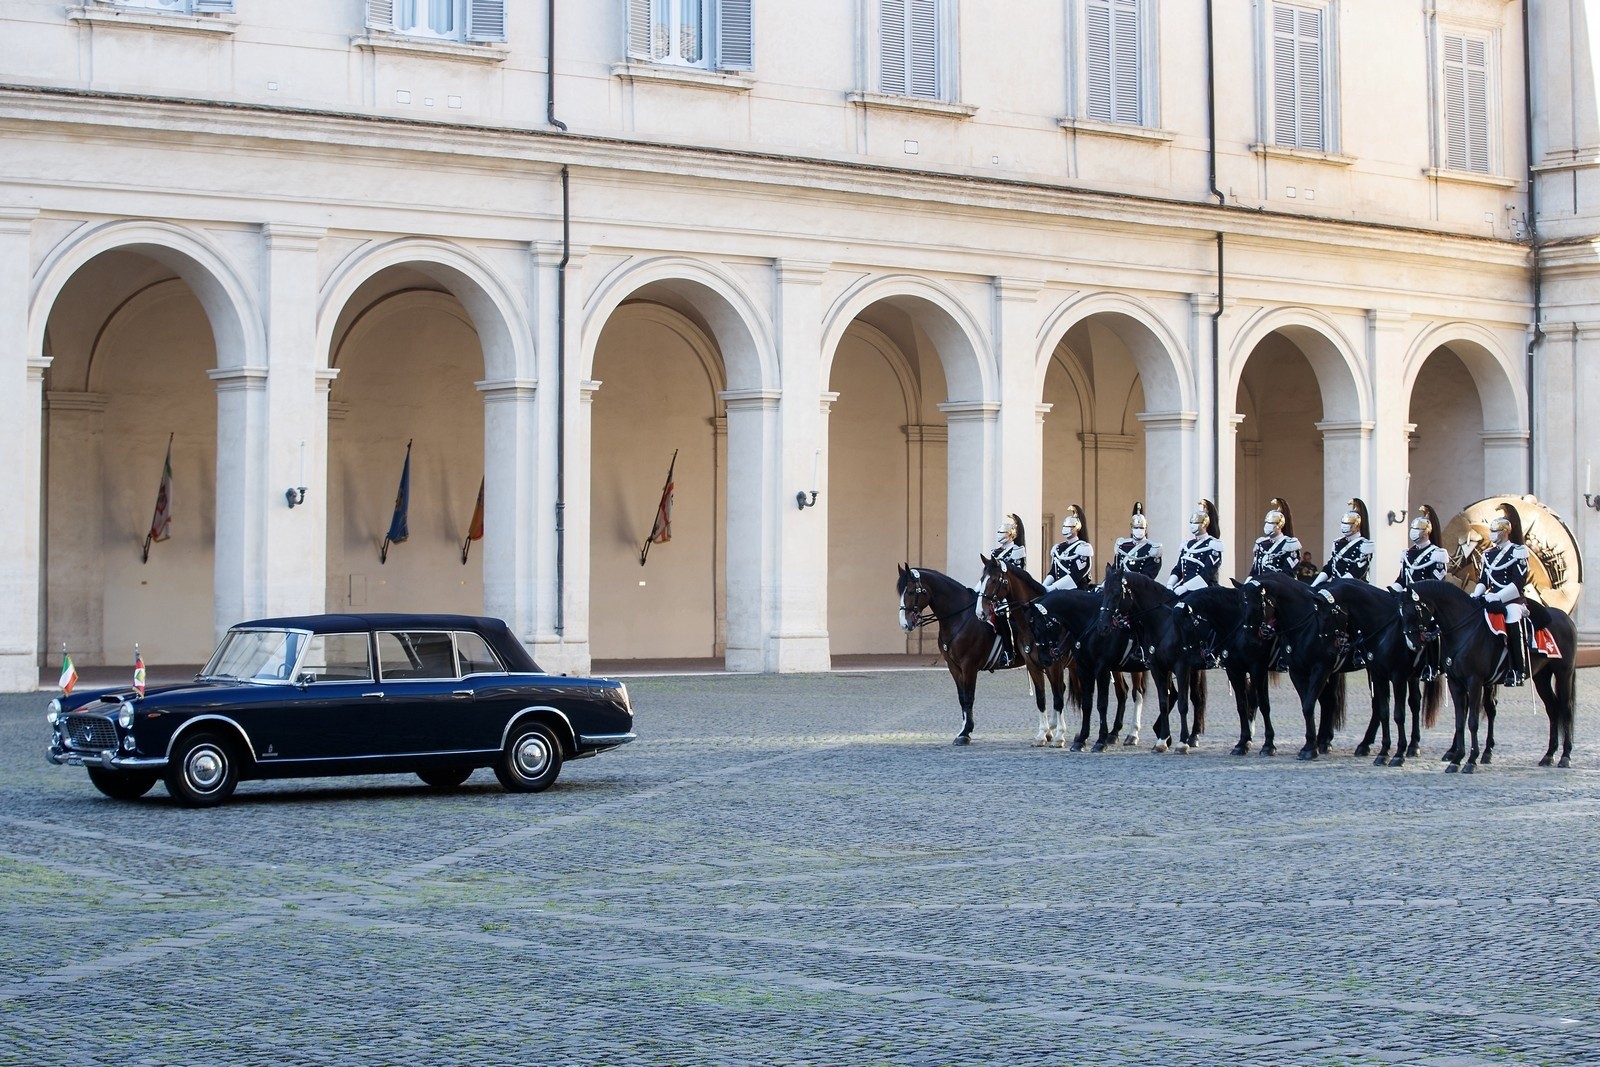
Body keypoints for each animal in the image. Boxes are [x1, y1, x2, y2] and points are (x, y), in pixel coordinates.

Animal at [902, 563, 1024, 748]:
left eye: (910, 592)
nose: (904, 623)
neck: (960, 617)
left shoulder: (969, 666)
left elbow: (969, 697)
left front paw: (965, 733)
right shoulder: (954, 666)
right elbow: (962, 698)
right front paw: (963, 730)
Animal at [1401, 579, 1574, 771]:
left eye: (1413, 610)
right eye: (1400, 612)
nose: (1412, 644)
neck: (1464, 629)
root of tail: (1566, 618)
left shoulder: (1474, 681)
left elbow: (1473, 721)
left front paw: (1471, 760)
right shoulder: (1455, 683)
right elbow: (1460, 721)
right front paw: (1456, 759)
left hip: (1563, 673)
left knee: (1566, 709)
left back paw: (1565, 756)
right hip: (1541, 677)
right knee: (1553, 708)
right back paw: (1549, 755)